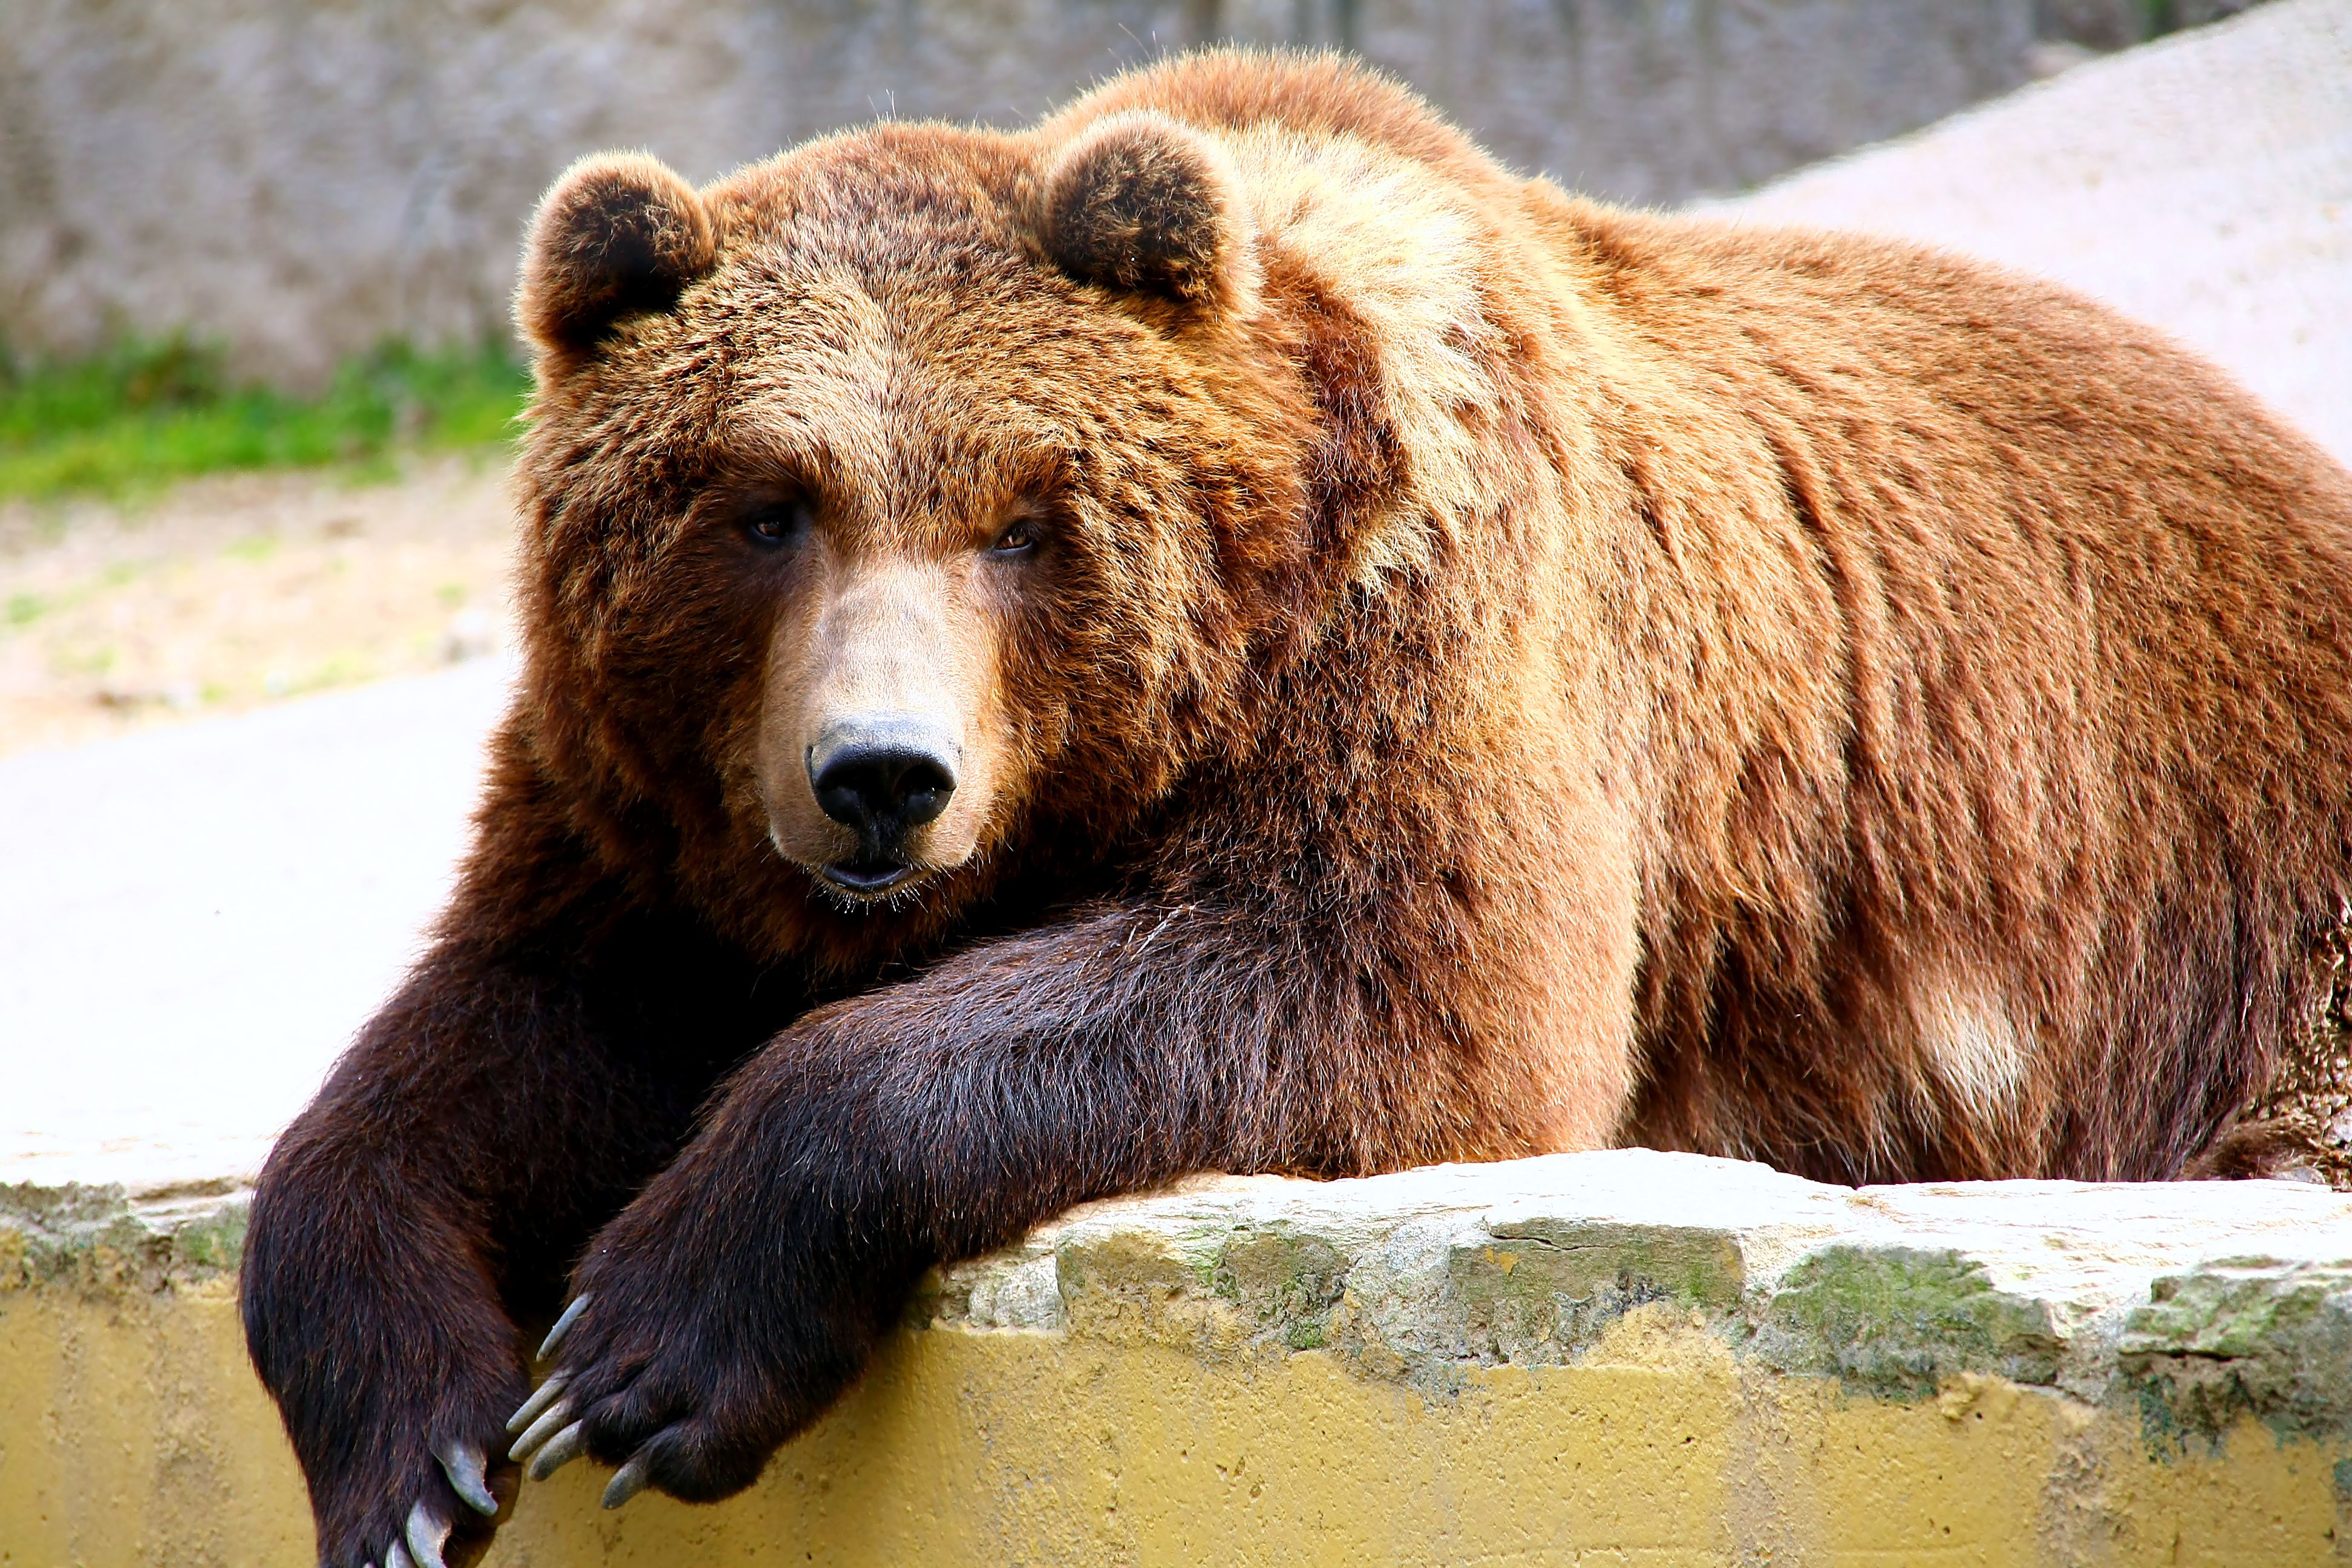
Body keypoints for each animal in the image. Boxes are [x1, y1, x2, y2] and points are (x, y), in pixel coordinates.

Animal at [238, 49, 2352, 1568]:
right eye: (765, 503)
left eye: (1021, 520)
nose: (881, 779)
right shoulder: (651, 820)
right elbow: (473, 1053)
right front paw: (418, 1446)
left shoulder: (1425, 616)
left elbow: (1376, 990)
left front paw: (640, 1349)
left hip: (2236, 907)